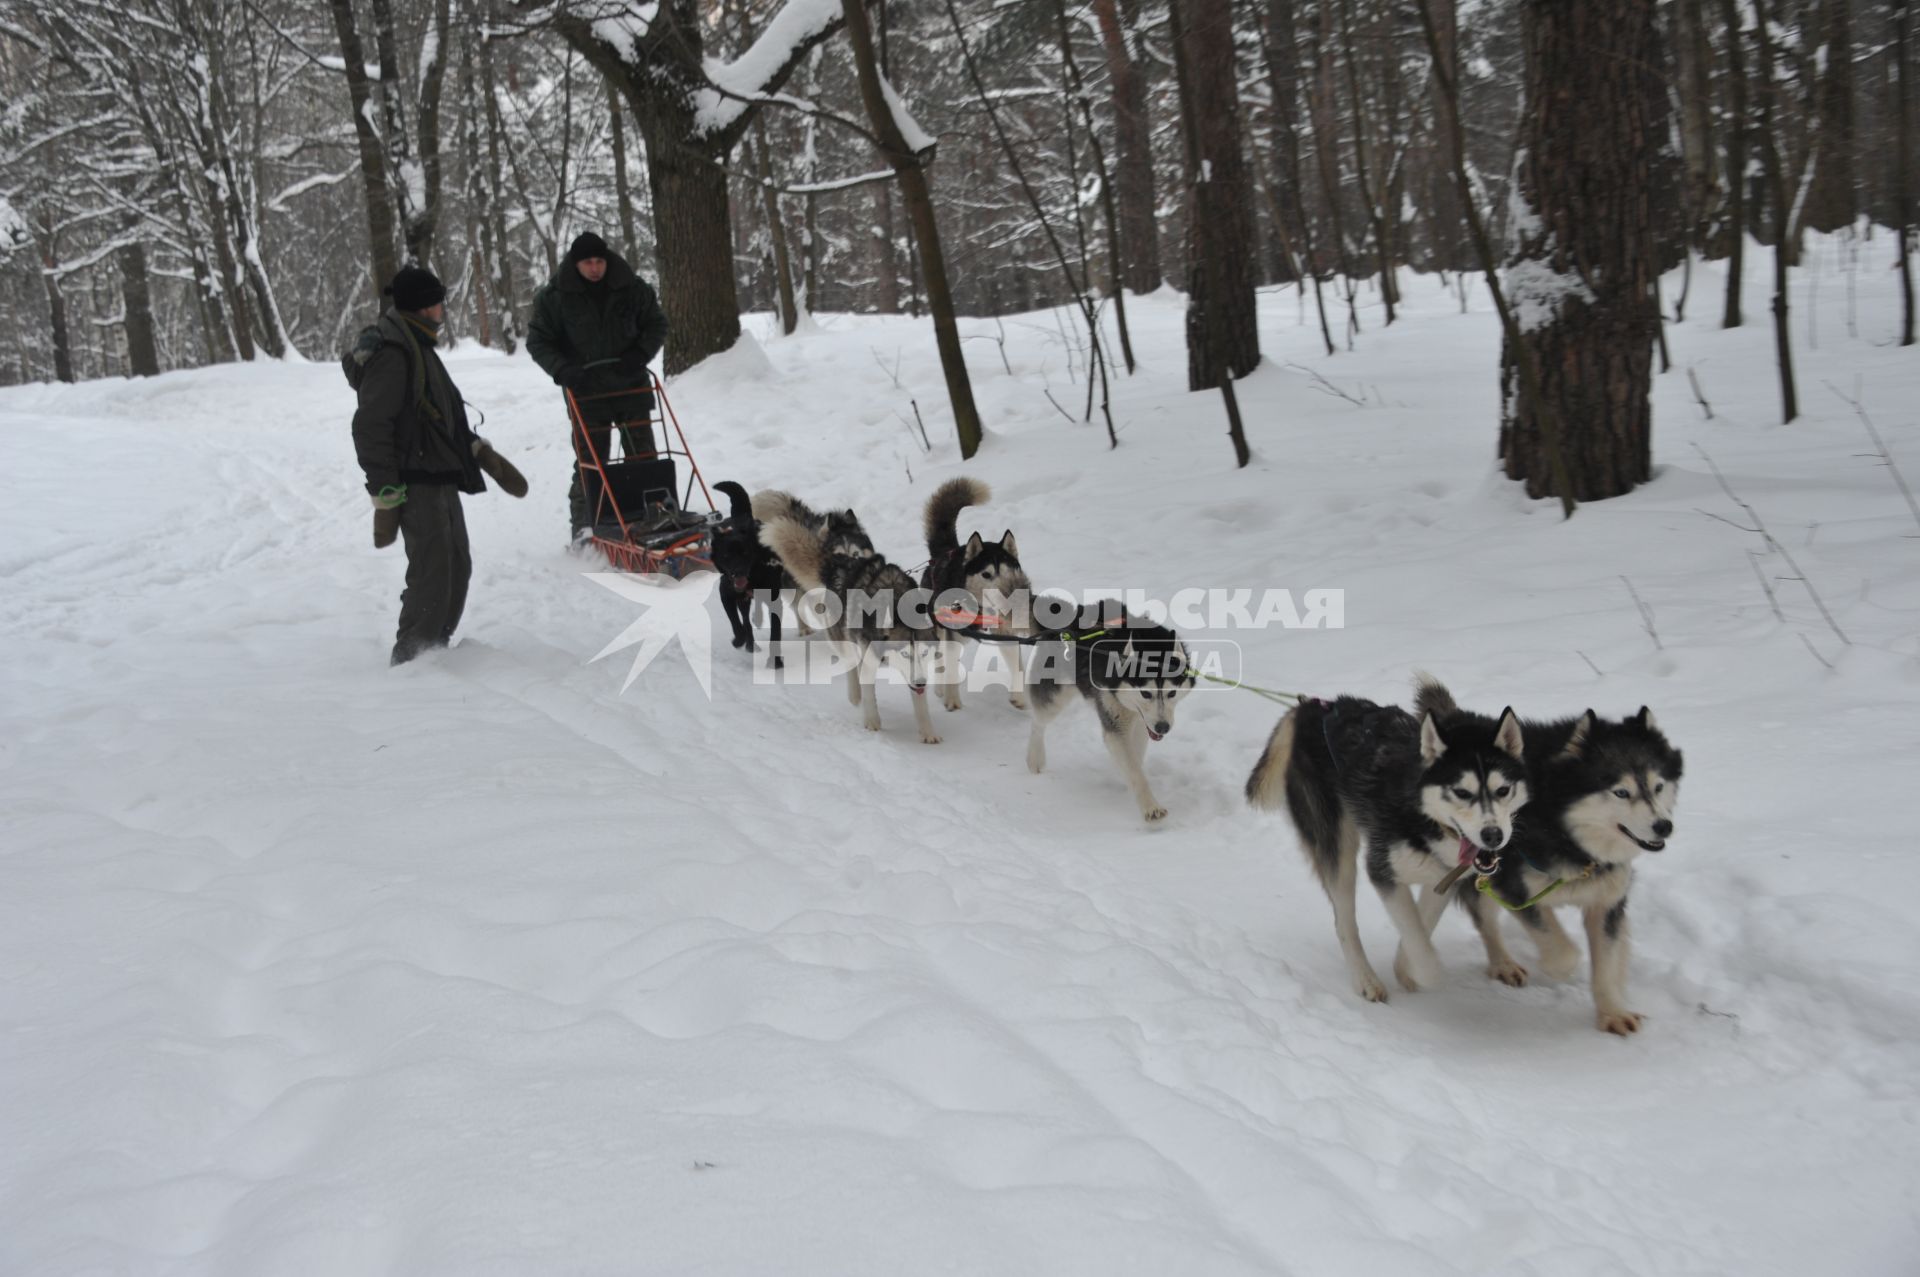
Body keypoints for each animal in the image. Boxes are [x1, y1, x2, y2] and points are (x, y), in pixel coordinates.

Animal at [760, 514, 948, 741]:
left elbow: (920, 705)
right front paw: (872, 722)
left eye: (925, 652)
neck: (896, 602)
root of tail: (840, 562)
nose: (921, 683)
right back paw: (855, 693)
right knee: (851, 663)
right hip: (841, 637)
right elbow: (869, 695)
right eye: (904, 654)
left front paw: (928, 732)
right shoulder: (871, 658)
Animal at [917, 480, 1036, 718]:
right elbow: (950, 667)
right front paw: (952, 700)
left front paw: (1019, 698)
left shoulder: (1005, 632)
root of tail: (944, 553)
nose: (1009, 598)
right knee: (940, 657)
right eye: (986, 574)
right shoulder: (951, 635)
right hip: (942, 629)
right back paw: (940, 688)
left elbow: (1017, 666)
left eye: (1010, 573)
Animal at [1029, 602, 1190, 821]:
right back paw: (1034, 758)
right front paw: (1150, 807)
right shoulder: (1116, 724)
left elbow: (1135, 759)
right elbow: (1133, 769)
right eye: (1146, 693)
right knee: (1038, 722)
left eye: (1171, 693)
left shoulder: (1141, 724)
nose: (1163, 727)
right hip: (1054, 699)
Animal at [1244, 683, 1528, 998]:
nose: (1493, 835)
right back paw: (1365, 978)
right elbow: (1415, 933)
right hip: (1338, 846)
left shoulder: (1443, 877)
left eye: (1503, 790)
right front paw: (1427, 971)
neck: (1425, 820)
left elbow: (1421, 924)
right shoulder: (1382, 871)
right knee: (1344, 921)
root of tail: (1316, 707)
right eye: (1462, 793)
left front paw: (1405, 968)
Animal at [1405, 683, 1689, 1029]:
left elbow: (1607, 961)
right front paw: (1559, 968)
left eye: (1658, 786)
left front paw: (1612, 1011)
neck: (1565, 831)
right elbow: (1560, 946)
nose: (1664, 826)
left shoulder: (1607, 900)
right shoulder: (1513, 887)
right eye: (1621, 792)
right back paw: (1502, 963)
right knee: (1483, 916)